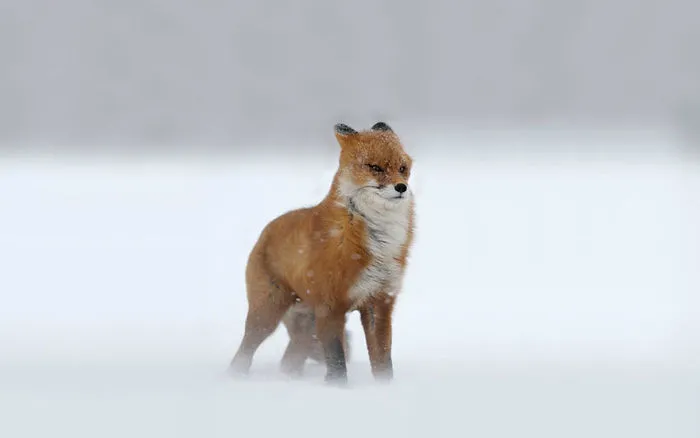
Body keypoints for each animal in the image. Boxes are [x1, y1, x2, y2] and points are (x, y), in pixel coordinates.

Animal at [229, 121, 415, 384]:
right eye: (375, 167)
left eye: (402, 168)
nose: (402, 187)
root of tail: (265, 232)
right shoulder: (331, 306)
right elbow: (337, 362)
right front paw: (337, 390)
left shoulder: (379, 302)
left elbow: (383, 360)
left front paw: (384, 389)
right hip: (267, 315)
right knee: (244, 353)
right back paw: (236, 378)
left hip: (306, 326)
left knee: (290, 359)